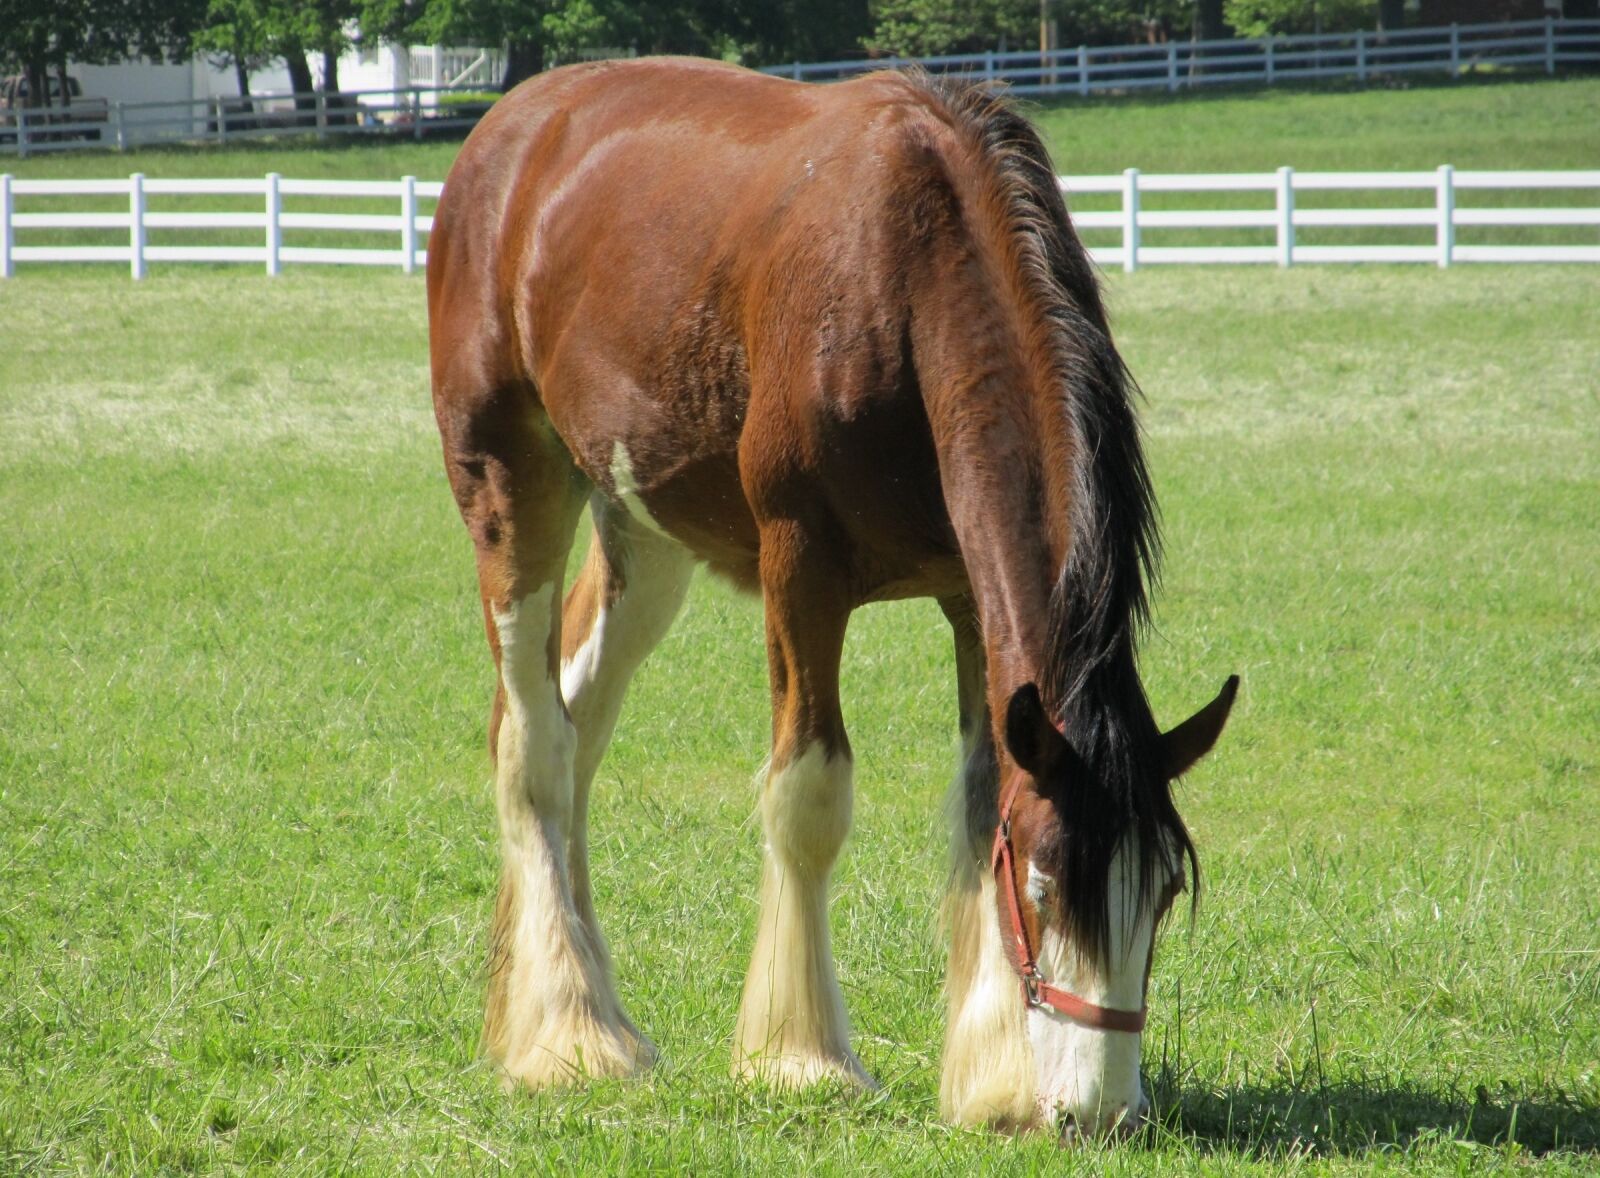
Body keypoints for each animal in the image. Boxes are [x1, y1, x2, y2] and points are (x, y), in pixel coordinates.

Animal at [426, 56, 1237, 1138]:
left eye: (1161, 892)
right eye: (1044, 879)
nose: (1100, 1111)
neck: (901, 276)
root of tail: (509, 127)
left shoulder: (968, 599)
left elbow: (979, 798)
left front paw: (993, 1077)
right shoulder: (799, 569)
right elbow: (808, 794)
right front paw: (799, 1058)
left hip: (643, 529)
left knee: (576, 724)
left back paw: (585, 1007)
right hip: (511, 487)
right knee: (535, 747)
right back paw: (569, 1034)